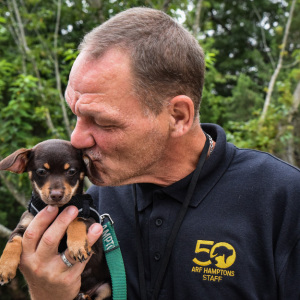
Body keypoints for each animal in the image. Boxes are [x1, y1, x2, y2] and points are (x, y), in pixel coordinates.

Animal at [0, 139, 111, 300]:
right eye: (41, 172)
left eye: (71, 171)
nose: (57, 195)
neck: (58, 209)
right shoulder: (23, 227)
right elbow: (13, 240)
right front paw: (5, 266)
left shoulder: (93, 225)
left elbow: (76, 219)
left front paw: (77, 245)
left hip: (106, 288)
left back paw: (85, 296)